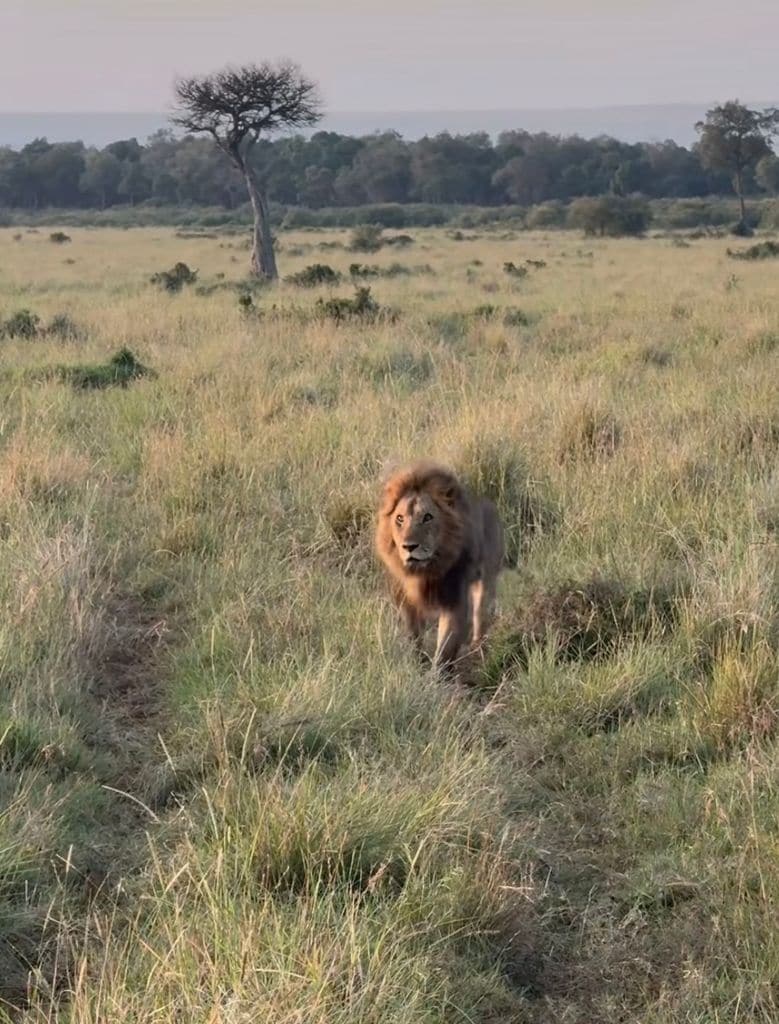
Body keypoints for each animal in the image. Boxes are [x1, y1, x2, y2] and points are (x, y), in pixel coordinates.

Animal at [375, 460, 505, 671]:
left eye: (427, 517)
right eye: (400, 519)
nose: (409, 546)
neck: (425, 573)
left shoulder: (454, 600)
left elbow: (445, 649)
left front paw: (437, 676)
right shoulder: (406, 603)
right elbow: (413, 639)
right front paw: (416, 665)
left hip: (486, 579)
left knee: (480, 616)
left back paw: (477, 651)